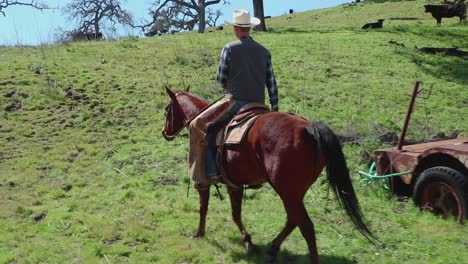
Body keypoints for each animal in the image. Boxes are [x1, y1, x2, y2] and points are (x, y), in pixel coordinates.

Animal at [163, 86, 378, 262]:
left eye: (167, 110)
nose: (165, 133)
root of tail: (308, 128)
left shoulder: (205, 181)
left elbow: (205, 207)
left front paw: (200, 233)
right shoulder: (235, 184)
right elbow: (235, 213)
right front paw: (249, 243)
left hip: (287, 192)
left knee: (306, 226)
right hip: (294, 193)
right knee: (293, 219)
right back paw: (273, 248)